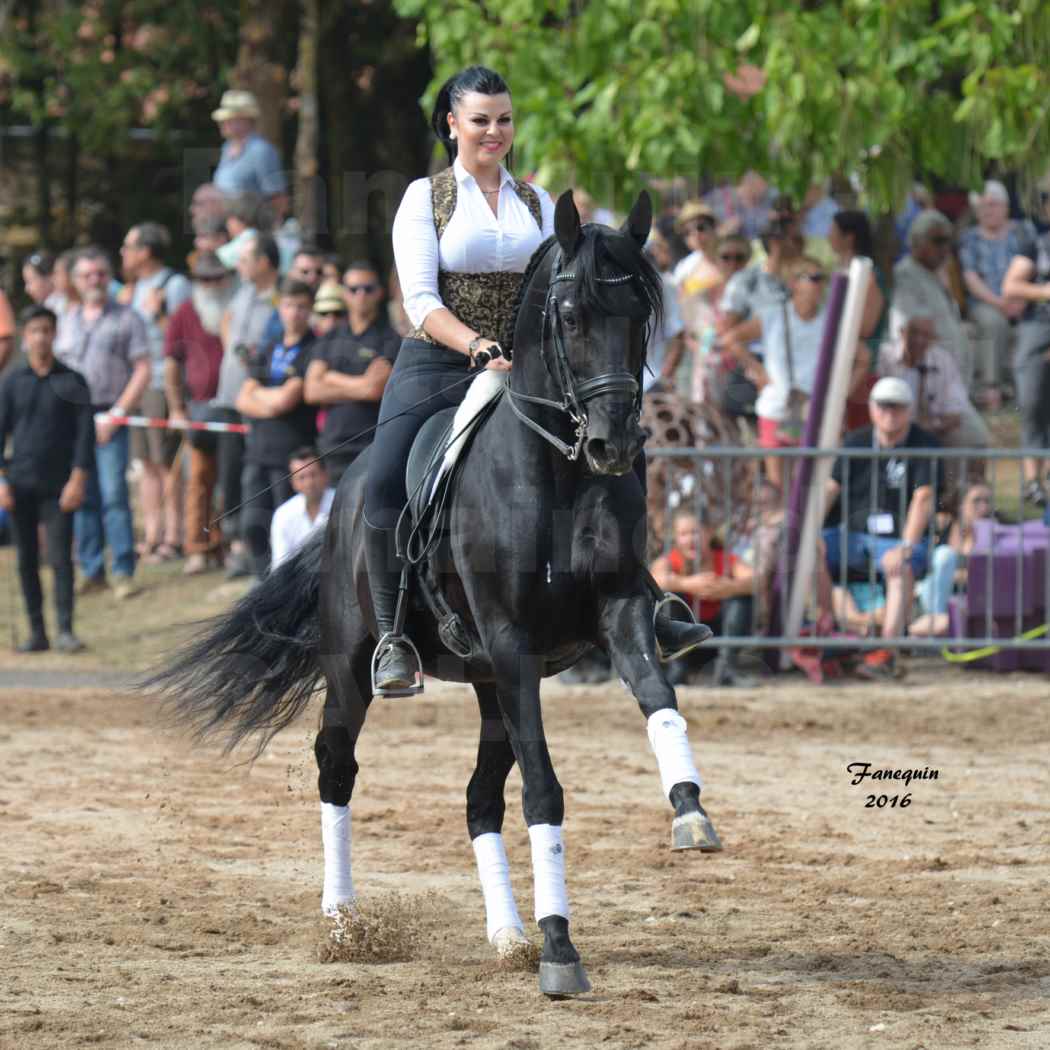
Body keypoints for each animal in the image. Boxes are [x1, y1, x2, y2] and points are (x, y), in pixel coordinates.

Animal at [148, 191, 722, 999]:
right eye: (571, 314)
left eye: (641, 313)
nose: (614, 446)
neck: (558, 476)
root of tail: (343, 499)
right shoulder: (513, 645)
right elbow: (544, 792)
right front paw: (561, 951)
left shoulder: (617, 615)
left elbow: (658, 698)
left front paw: (690, 813)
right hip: (355, 668)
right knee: (336, 766)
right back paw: (344, 925)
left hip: (487, 684)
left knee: (479, 800)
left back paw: (508, 935)